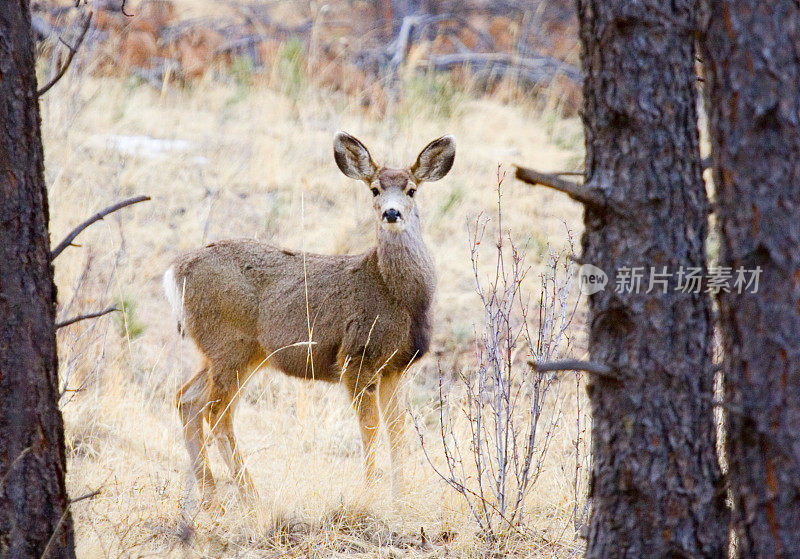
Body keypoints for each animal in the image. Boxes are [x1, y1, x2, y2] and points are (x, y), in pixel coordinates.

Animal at [162, 132, 456, 508]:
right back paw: (250, 498)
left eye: (412, 189)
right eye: (374, 189)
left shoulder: (396, 366)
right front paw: (371, 495)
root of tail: (175, 271)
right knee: (216, 414)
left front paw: (399, 498)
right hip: (231, 345)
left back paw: (213, 497)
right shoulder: (356, 357)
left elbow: (397, 432)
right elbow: (370, 430)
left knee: (187, 400)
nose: (391, 213)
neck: (398, 296)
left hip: (228, 353)